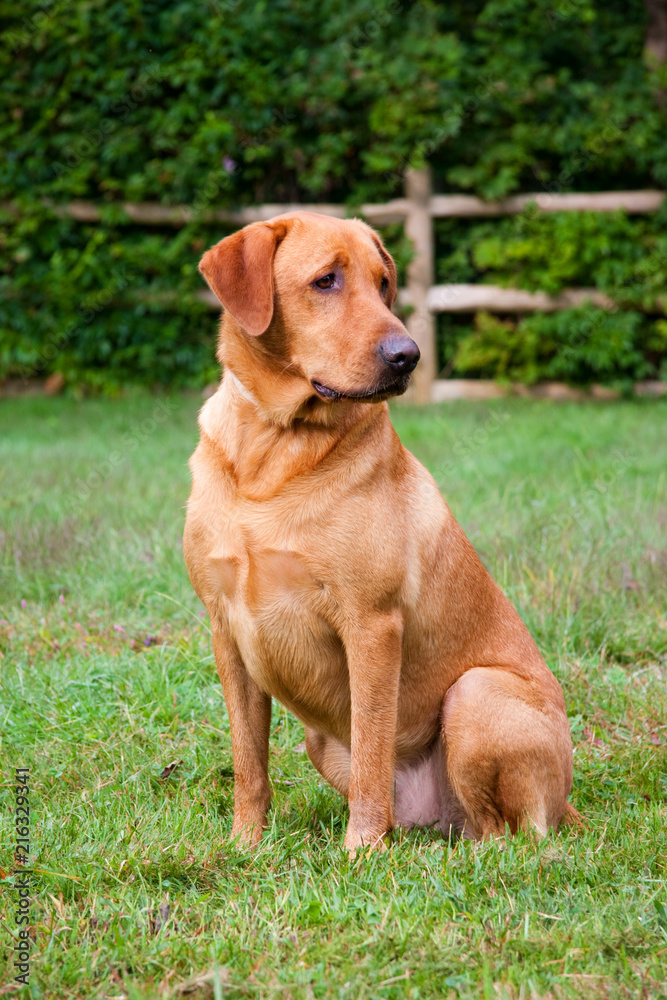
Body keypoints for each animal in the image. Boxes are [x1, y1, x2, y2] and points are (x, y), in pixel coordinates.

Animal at [184, 211, 580, 852]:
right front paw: (245, 843)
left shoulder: (371, 625)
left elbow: (372, 752)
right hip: (321, 741)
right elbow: (249, 763)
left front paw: (361, 850)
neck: (273, 448)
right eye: (326, 280)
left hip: (474, 694)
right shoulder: (226, 630)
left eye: (383, 283)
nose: (408, 355)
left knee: (511, 835)